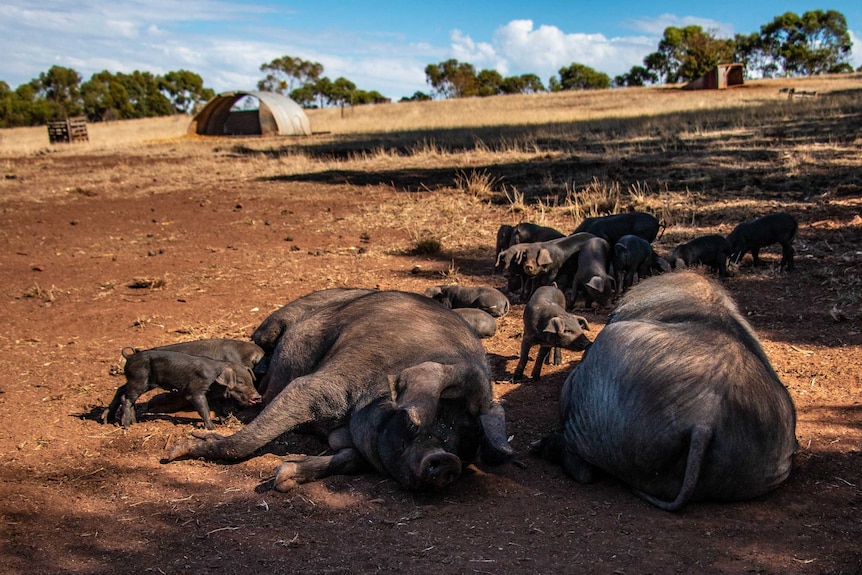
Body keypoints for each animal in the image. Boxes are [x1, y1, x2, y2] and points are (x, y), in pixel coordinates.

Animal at [167, 290, 512, 492]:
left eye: (465, 441)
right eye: (433, 416)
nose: (448, 461)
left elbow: (349, 460)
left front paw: (283, 476)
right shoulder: (316, 386)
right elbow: (248, 440)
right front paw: (177, 450)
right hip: (273, 327)